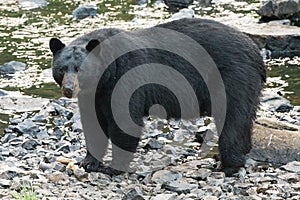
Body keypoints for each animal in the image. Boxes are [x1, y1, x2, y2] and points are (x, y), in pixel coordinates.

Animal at [49, 18, 268, 176]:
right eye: (61, 69)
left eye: (80, 69)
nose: (68, 89)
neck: (105, 76)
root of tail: (256, 54)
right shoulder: (94, 95)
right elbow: (93, 124)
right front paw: (88, 162)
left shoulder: (125, 79)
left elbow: (125, 122)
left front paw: (113, 168)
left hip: (233, 78)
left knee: (232, 119)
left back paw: (228, 165)